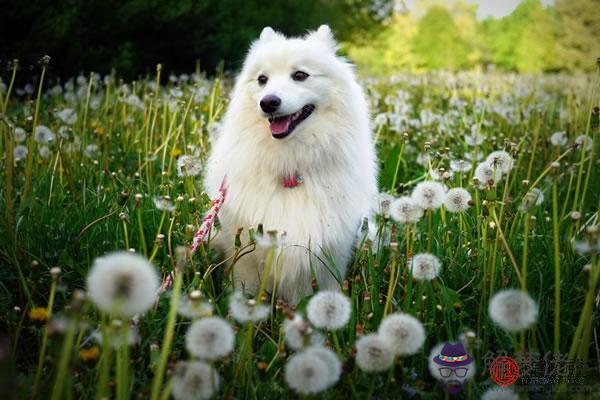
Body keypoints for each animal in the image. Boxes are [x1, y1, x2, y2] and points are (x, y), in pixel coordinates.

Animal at [204, 25, 378, 304]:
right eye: (262, 79)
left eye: (300, 75)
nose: (268, 102)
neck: (290, 165)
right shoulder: (245, 256)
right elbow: (245, 291)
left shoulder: (328, 256)